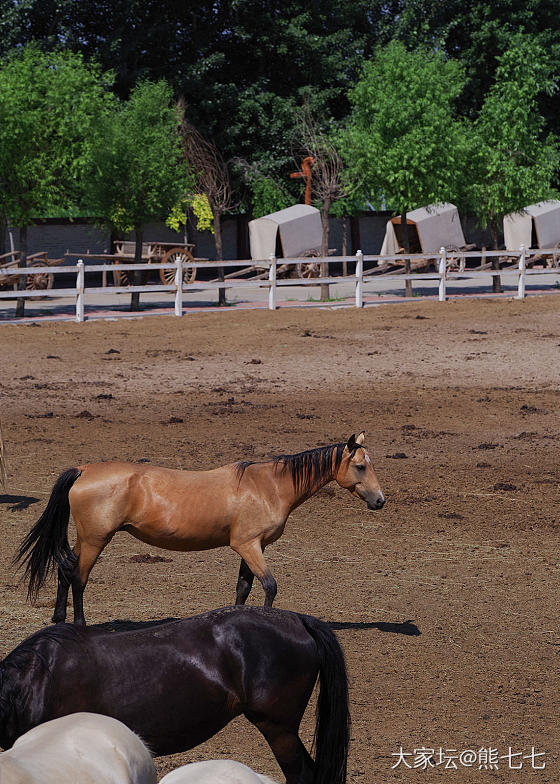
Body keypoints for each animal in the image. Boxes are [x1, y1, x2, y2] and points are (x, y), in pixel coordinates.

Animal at [15, 428, 382, 624]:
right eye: (361, 467)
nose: (380, 501)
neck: (269, 485)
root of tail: (84, 469)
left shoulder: (250, 546)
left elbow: (243, 588)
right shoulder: (248, 545)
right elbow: (270, 586)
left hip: (85, 538)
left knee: (66, 571)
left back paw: (58, 620)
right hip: (95, 539)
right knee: (79, 578)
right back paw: (79, 624)